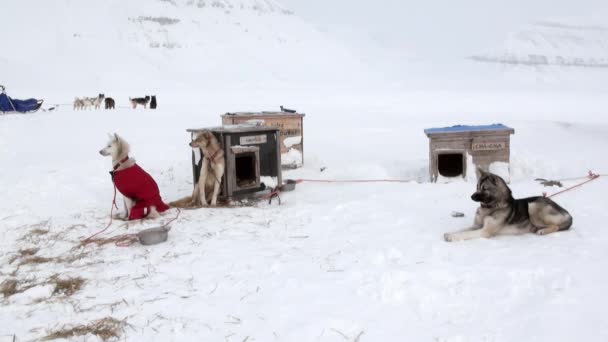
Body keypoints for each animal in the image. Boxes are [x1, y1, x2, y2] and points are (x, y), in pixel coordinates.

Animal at [444, 170, 572, 242]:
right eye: (477, 187)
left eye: (484, 189)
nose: (471, 196)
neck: (491, 207)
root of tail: (568, 214)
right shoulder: (476, 226)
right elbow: (462, 230)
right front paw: (449, 233)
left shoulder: (484, 231)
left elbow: (465, 233)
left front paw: (452, 237)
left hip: (532, 206)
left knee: (556, 226)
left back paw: (543, 231)